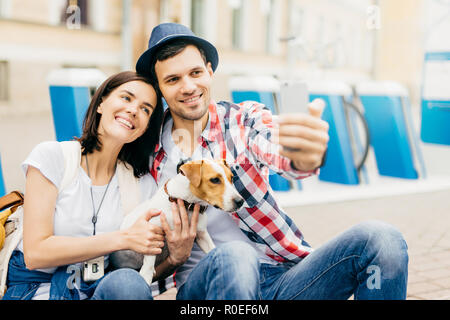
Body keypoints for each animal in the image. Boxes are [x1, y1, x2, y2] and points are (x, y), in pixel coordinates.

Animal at [110, 159, 243, 284]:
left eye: (232, 178)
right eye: (214, 180)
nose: (240, 201)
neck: (186, 203)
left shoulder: (201, 235)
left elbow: (212, 249)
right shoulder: (152, 231)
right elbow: (149, 261)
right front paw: (146, 276)